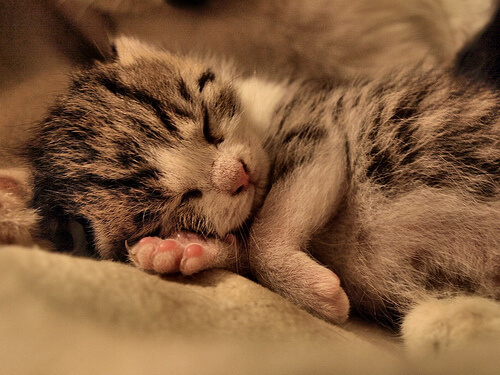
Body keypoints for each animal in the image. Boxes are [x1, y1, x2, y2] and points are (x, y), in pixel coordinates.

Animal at [28, 38, 500, 356]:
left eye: (207, 123)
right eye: (180, 202)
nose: (237, 175)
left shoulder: (320, 131)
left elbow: (265, 235)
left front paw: (316, 293)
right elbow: (242, 244)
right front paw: (180, 251)